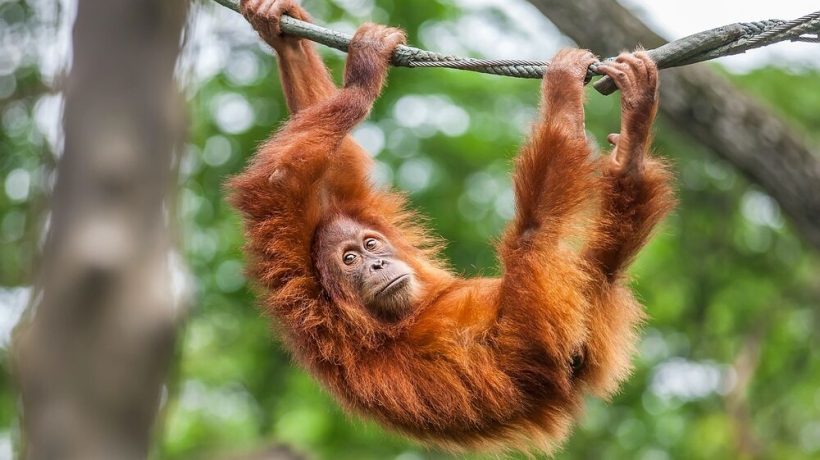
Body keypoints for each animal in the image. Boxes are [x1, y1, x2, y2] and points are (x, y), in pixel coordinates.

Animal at [230, 0, 675, 453]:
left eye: (371, 246)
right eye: (349, 260)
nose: (376, 265)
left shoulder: (349, 212)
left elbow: (335, 174)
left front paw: (281, 33)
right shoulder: (302, 289)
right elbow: (278, 180)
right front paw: (363, 73)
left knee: (603, 266)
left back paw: (633, 137)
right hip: (544, 317)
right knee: (535, 233)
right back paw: (566, 96)